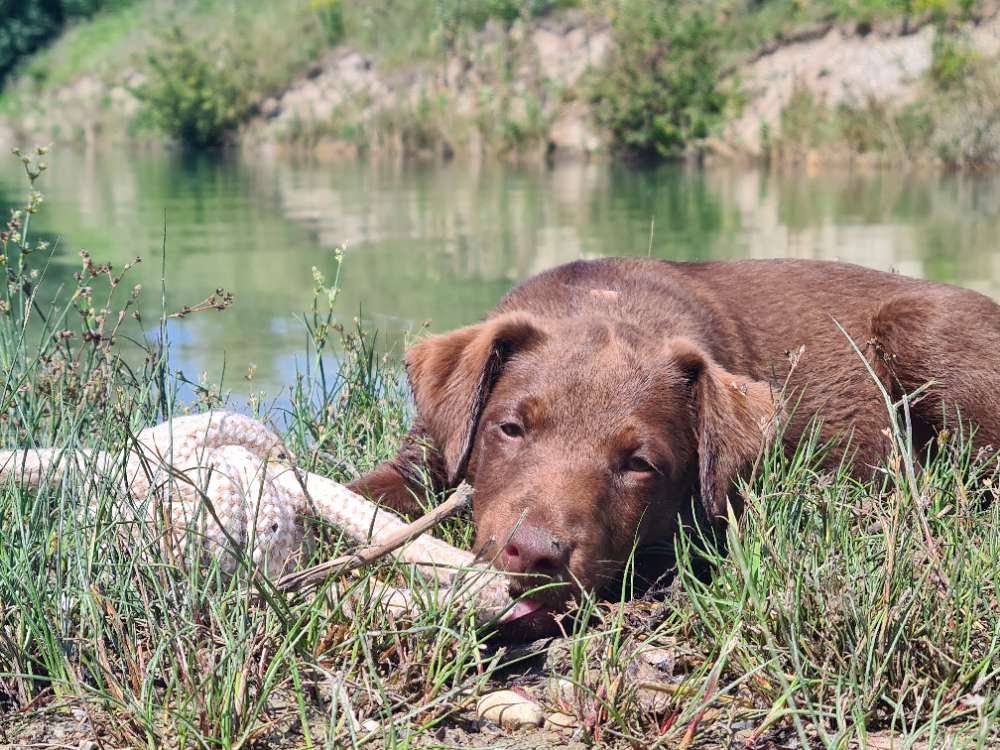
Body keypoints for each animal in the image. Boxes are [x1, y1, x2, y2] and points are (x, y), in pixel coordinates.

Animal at [350, 258, 1000, 628]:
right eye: (509, 429)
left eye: (640, 464)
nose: (534, 555)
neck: (606, 302)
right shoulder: (428, 449)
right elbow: (379, 489)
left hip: (924, 330)